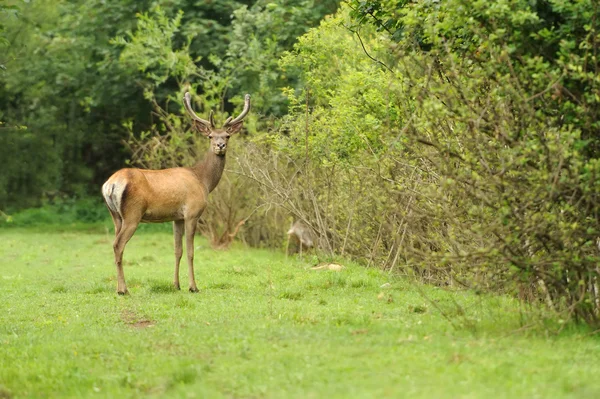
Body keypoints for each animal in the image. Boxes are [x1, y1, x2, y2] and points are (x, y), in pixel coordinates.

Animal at [102, 92, 250, 296]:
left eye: (227, 136)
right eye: (210, 136)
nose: (220, 145)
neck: (203, 180)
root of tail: (110, 184)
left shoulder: (177, 217)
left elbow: (177, 250)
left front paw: (176, 285)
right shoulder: (192, 213)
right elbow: (191, 251)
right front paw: (193, 286)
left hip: (115, 215)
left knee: (116, 244)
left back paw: (119, 288)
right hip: (133, 214)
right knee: (118, 244)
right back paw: (124, 290)